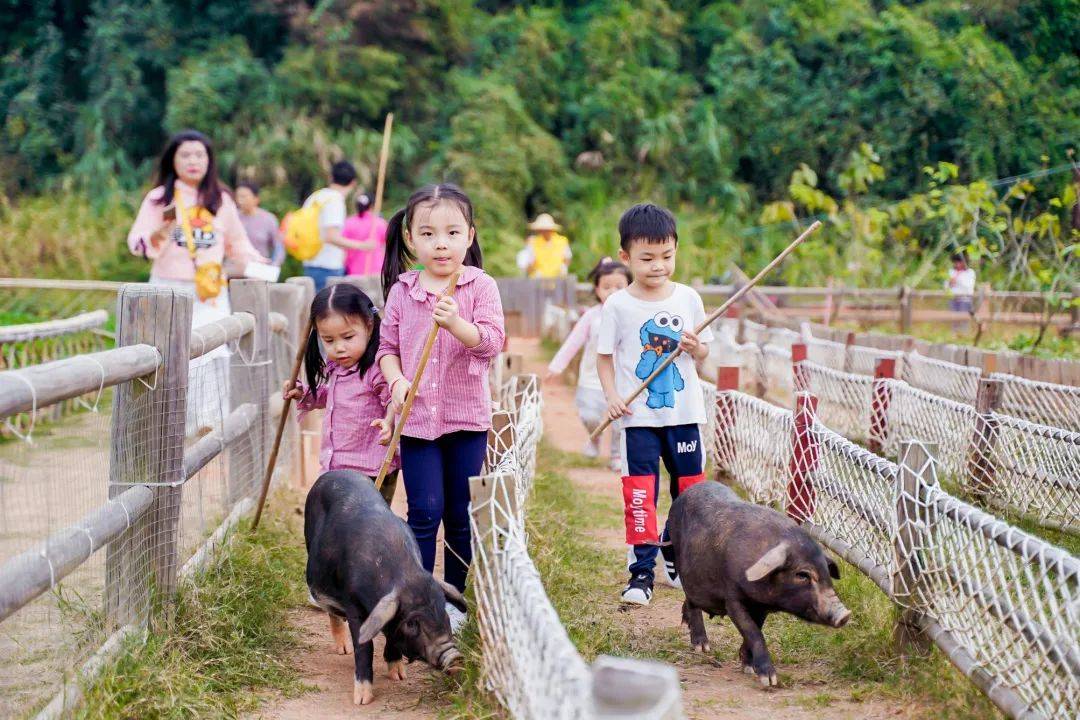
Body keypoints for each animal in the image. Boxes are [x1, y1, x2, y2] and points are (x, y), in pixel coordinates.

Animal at [308, 470, 468, 708]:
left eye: (444, 612)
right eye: (412, 623)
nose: (453, 655)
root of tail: (337, 471)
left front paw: (399, 676)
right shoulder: (354, 604)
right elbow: (364, 647)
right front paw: (362, 701)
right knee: (332, 612)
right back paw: (343, 650)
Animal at [665, 481, 851, 686]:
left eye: (826, 571)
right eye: (802, 575)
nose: (845, 614)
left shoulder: (761, 607)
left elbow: (756, 629)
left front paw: (747, 667)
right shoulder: (732, 597)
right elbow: (754, 632)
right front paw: (769, 680)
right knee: (691, 601)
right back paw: (702, 647)